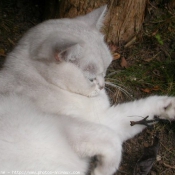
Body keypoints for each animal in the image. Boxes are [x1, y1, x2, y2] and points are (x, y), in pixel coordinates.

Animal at [0, 5, 175, 175]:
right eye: (91, 79)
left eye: (106, 70)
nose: (102, 86)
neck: (42, 81)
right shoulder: (76, 127)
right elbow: (113, 141)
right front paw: (100, 171)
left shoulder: (102, 119)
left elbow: (137, 110)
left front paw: (169, 107)